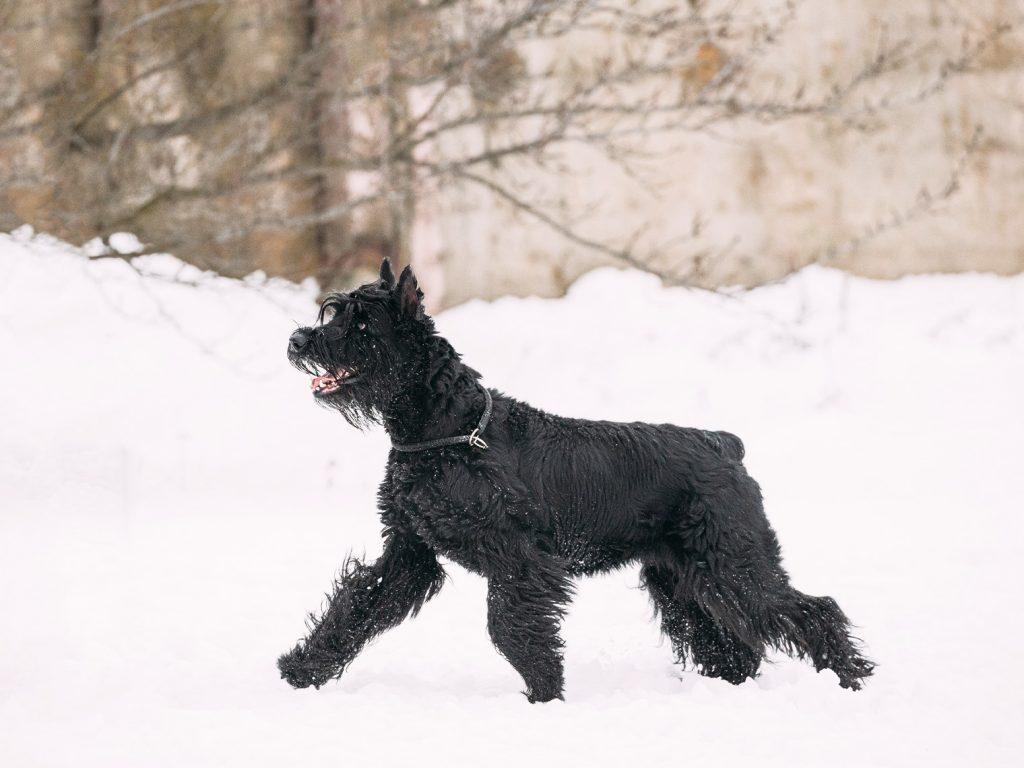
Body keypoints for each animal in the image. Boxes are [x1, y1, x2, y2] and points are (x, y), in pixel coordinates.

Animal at [278, 260, 872, 704]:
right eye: (334, 313)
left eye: (361, 326)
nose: (299, 339)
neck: (445, 428)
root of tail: (724, 445)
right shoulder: (409, 551)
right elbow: (357, 603)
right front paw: (302, 669)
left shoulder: (522, 563)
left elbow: (511, 627)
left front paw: (545, 693)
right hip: (683, 578)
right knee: (730, 639)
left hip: (732, 564)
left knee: (810, 610)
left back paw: (852, 679)